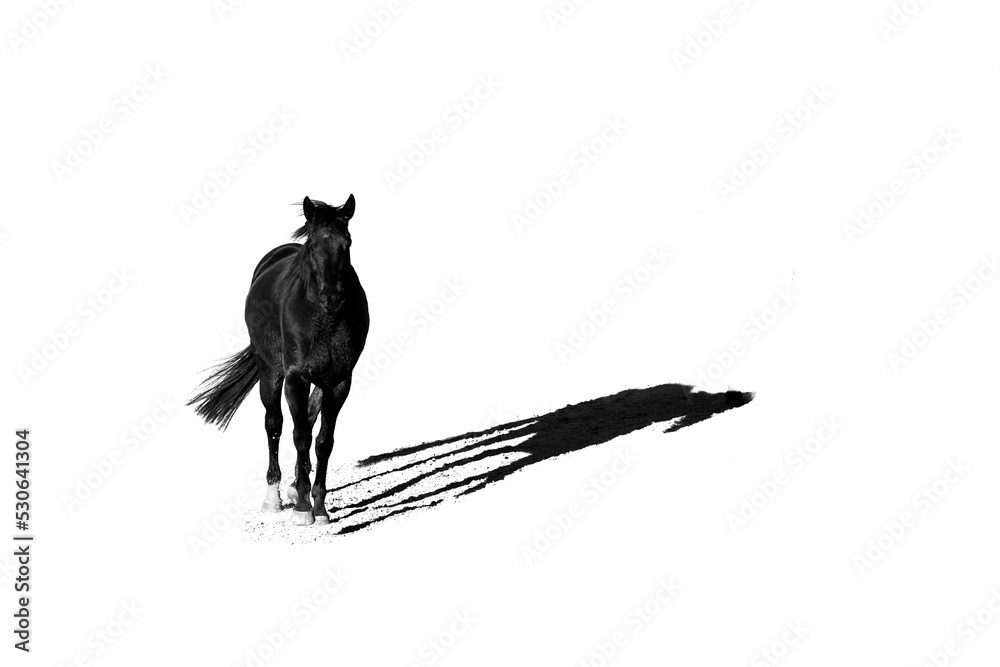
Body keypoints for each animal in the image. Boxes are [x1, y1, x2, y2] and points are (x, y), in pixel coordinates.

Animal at [188, 194, 369, 526]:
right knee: (274, 424)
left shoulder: (339, 382)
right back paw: (273, 497)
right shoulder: (296, 377)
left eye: (347, 242)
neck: (324, 319)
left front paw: (319, 507)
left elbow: (323, 441)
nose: (333, 297)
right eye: (313, 245)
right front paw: (303, 510)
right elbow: (300, 436)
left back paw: (297, 487)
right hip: (270, 372)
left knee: (308, 420)